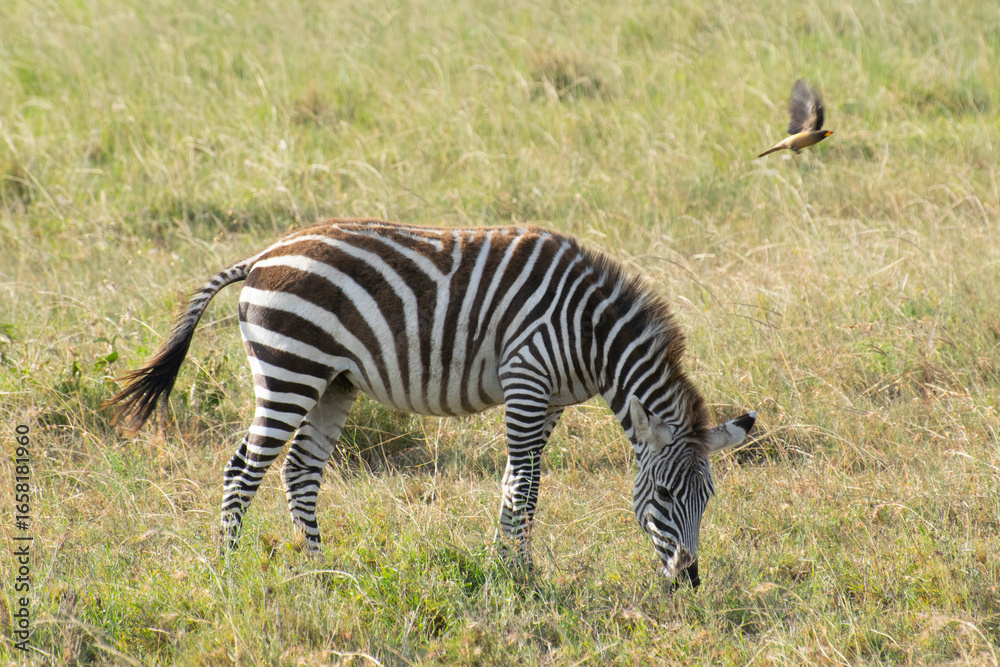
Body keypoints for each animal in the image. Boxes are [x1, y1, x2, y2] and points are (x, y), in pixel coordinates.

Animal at [107, 219, 755, 585]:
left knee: (299, 470)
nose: (689, 581)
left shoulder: (549, 402)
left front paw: (505, 566)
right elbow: (527, 486)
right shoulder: (526, 378)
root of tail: (262, 257)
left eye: (709, 498)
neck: (590, 335)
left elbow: (512, 483)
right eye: (666, 495)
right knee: (244, 468)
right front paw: (522, 576)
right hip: (291, 368)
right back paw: (229, 568)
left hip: (333, 382)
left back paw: (319, 570)